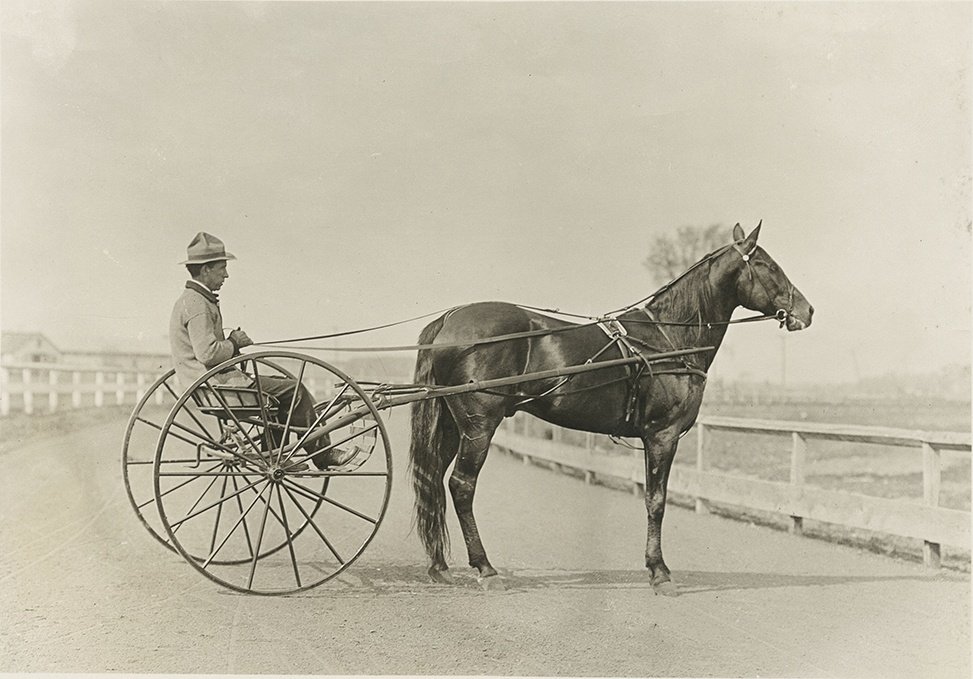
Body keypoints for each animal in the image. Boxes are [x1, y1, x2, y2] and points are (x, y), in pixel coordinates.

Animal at [408, 224, 812, 596]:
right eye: (767, 264)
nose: (807, 310)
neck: (668, 339)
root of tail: (448, 320)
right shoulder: (662, 436)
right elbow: (656, 501)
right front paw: (660, 572)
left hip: (451, 425)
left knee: (433, 480)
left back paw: (440, 567)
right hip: (478, 426)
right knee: (461, 486)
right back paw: (486, 569)